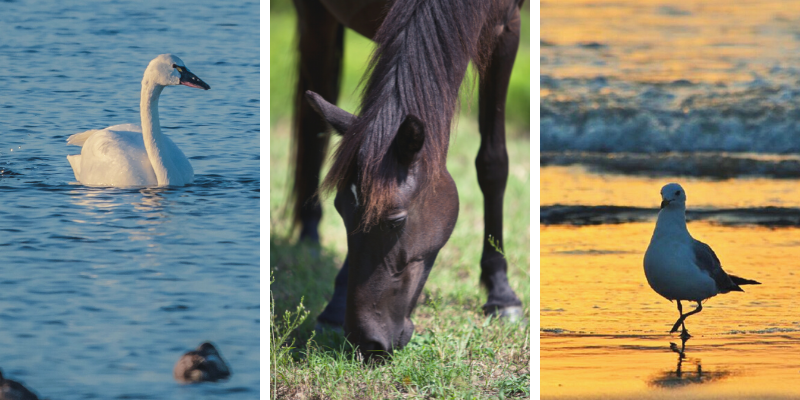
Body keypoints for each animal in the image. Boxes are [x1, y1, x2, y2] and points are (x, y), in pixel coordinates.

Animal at [289, 0, 525, 360]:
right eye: (340, 210)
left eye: (396, 220)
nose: (366, 342)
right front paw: (335, 305)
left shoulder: (506, 28)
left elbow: (493, 163)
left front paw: (501, 293)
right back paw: (310, 233)